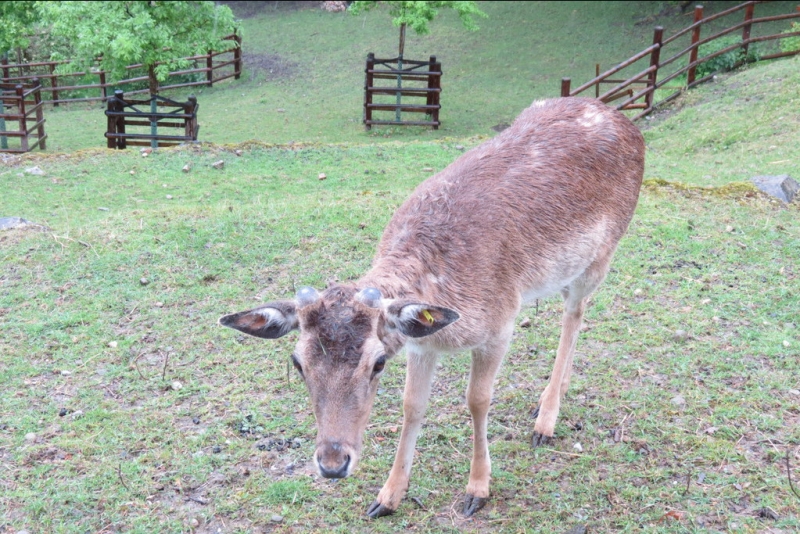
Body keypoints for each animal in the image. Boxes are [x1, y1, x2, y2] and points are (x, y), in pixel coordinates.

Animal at [219, 96, 644, 520]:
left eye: (377, 363)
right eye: (298, 363)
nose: (333, 464)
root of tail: (621, 117)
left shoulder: (501, 323)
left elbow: (477, 400)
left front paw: (477, 489)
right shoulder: (420, 342)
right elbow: (412, 405)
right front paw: (387, 497)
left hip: (602, 255)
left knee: (575, 314)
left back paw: (546, 422)